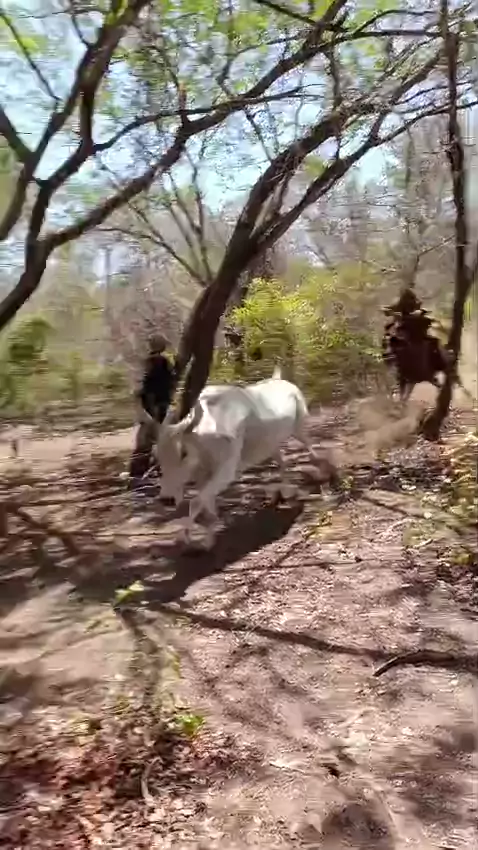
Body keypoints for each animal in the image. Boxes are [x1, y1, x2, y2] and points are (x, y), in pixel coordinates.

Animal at [154, 367, 321, 548]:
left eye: (183, 452)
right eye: (157, 455)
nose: (167, 499)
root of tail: (280, 380)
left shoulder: (227, 471)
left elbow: (196, 502)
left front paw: (185, 537)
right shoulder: (204, 476)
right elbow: (207, 506)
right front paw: (208, 540)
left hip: (299, 427)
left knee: (311, 446)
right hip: (272, 445)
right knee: (282, 461)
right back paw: (286, 492)